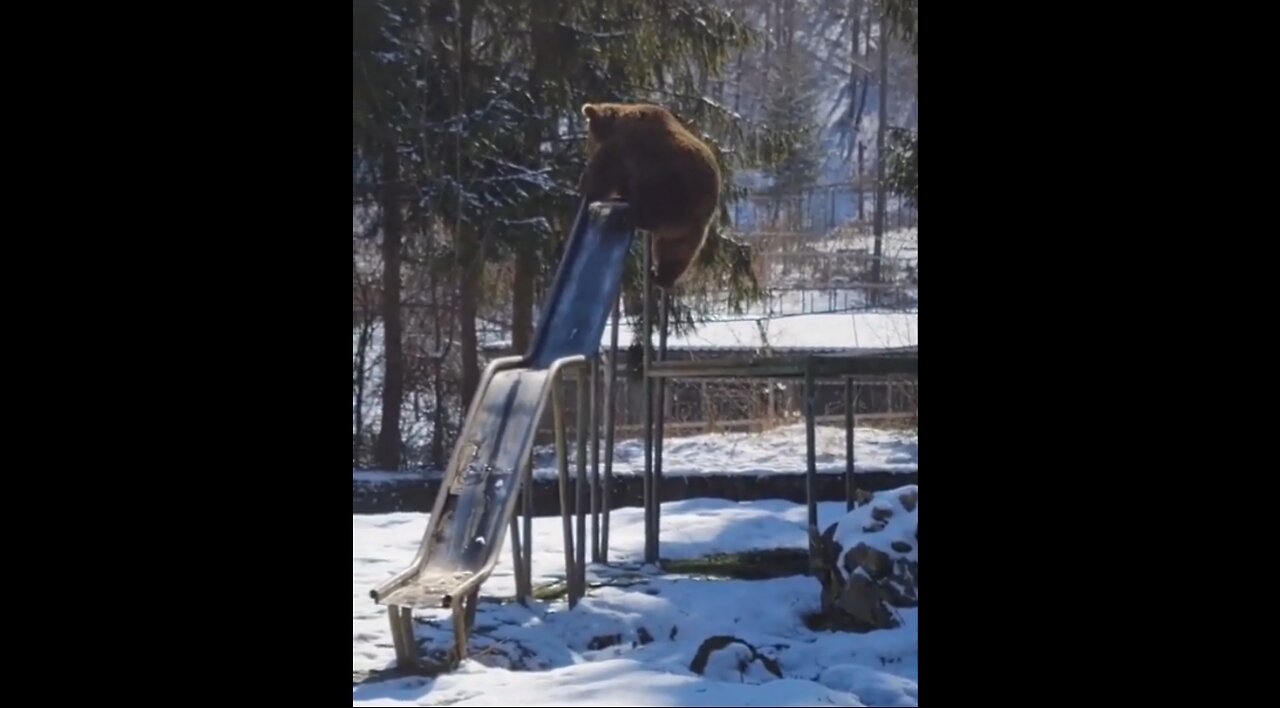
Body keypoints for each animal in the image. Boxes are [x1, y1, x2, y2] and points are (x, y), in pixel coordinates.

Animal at [581, 101, 721, 286]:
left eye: (589, 136)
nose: (586, 151)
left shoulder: (622, 147)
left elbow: (605, 173)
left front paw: (589, 189)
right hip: (686, 230)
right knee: (674, 252)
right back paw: (662, 276)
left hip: (673, 189)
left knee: (651, 210)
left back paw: (632, 218)